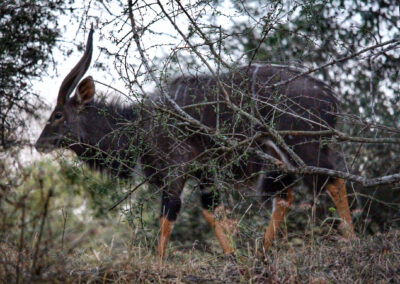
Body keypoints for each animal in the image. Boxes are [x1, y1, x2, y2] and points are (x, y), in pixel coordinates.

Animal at [36, 28, 356, 260]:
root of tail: (329, 95)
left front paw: (157, 266)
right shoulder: (205, 172)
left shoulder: (176, 170)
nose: (39, 145)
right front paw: (234, 257)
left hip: (305, 147)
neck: (140, 125)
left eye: (58, 114)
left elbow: (169, 213)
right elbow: (211, 210)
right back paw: (261, 253)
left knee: (333, 180)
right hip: (282, 161)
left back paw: (352, 242)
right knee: (286, 196)